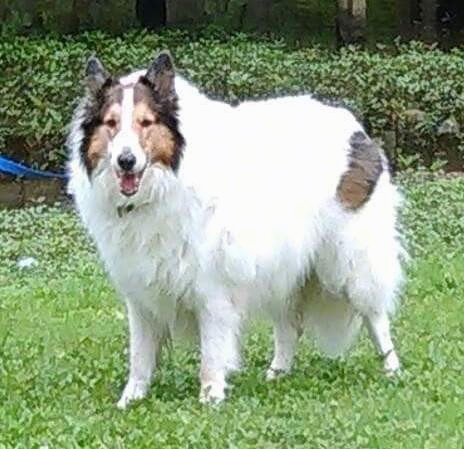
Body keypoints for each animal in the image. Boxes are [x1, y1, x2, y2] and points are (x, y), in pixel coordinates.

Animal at [67, 50, 404, 408]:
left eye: (146, 122)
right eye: (111, 124)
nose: (126, 161)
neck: (166, 182)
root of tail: (354, 129)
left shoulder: (212, 287)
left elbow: (212, 352)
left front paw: (210, 396)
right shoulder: (141, 293)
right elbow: (140, 355)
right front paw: (131, 398)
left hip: (351, 263)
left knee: (376, 318)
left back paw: (392, 369)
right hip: (285, 268)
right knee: (289, 327)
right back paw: (277, 374)